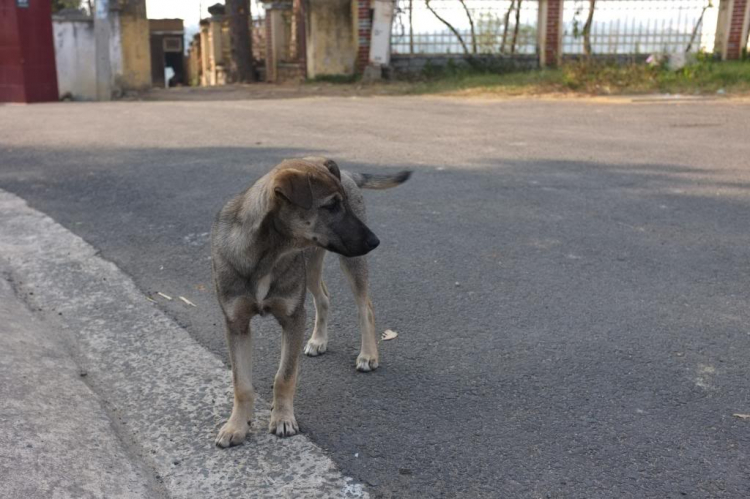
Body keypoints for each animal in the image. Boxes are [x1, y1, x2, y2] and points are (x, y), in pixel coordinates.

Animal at [210, 157, 412, 450]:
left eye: (344, 203)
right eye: (331, 205)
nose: (375, 241)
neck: (266, 254)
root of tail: (346, 171)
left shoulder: (293, 318)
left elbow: (284, 376)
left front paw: (282, 418)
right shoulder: (236, 324)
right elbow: (241, 383)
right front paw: (237, 425)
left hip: (350, 263)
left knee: (366, 307)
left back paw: (368, 354)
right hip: (312, 267)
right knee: (324, 298)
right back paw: (318, 340)